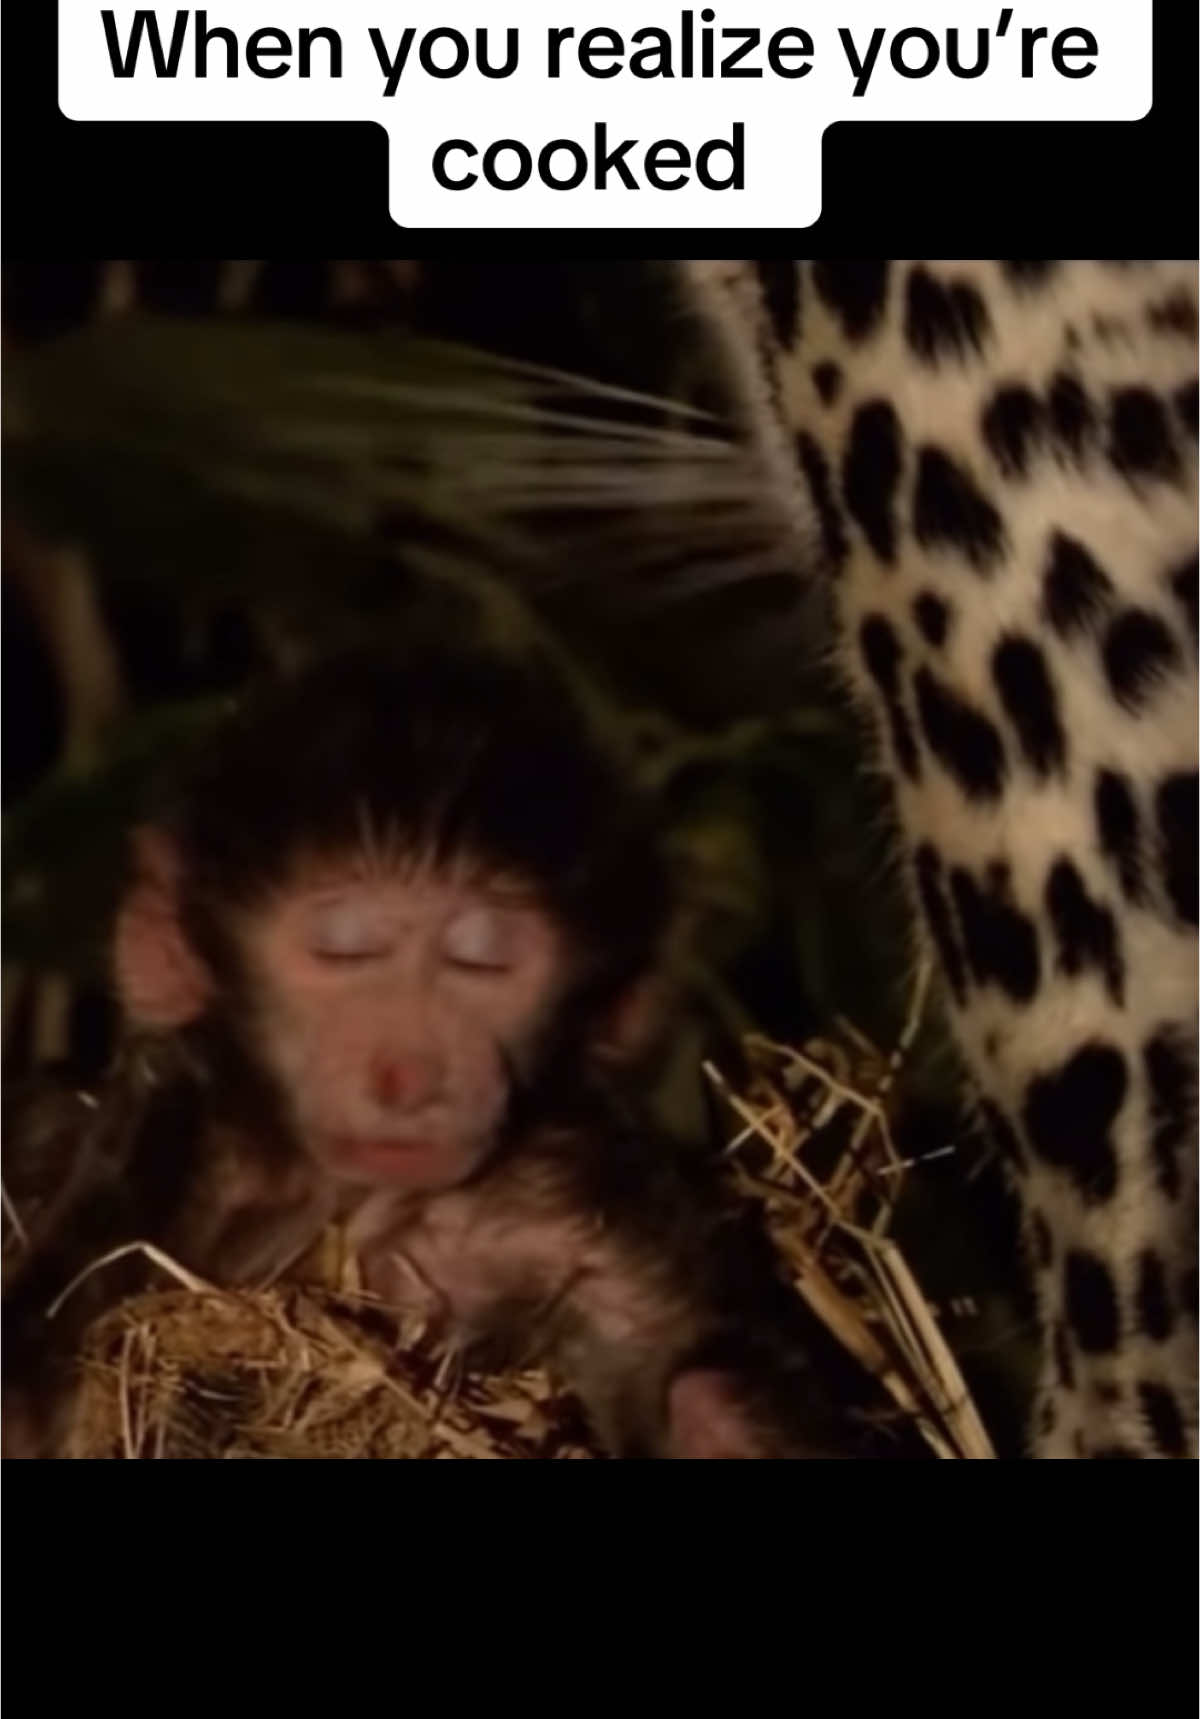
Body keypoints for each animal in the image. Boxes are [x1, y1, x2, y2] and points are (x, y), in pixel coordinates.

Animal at [2, 619, 887, 1459]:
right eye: (344, 951)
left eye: (480, 961)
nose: (406, 1075)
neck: (361, 1206)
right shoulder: (172, 1138)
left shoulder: (573, 1196)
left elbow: (697, 1383)